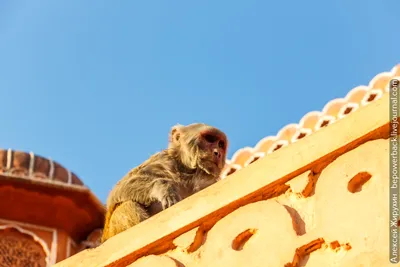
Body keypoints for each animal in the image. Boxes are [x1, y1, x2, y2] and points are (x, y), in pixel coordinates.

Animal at [100, 122, 228, 244]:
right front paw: (163, 188)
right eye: (209, 138)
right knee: (127, 205)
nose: (217, 152)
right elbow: (118, 191)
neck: (189, 173)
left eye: (221, 144)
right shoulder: (164, 160)